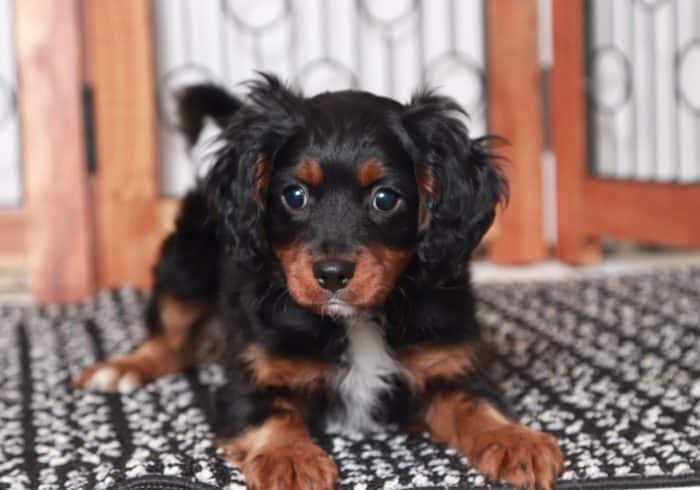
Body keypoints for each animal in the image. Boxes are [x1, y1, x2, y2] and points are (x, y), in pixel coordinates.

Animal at [76, 73, 568, 490]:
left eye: (385, 198)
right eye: (295, 195)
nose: (332, 274)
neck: (357, 320)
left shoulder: (449, 364)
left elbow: (474, 404)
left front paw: (517, 441)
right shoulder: (254, 373)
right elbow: (273, 414)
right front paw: (290, 460)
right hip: (185, 264)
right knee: (171, 334)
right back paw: (120, 369)